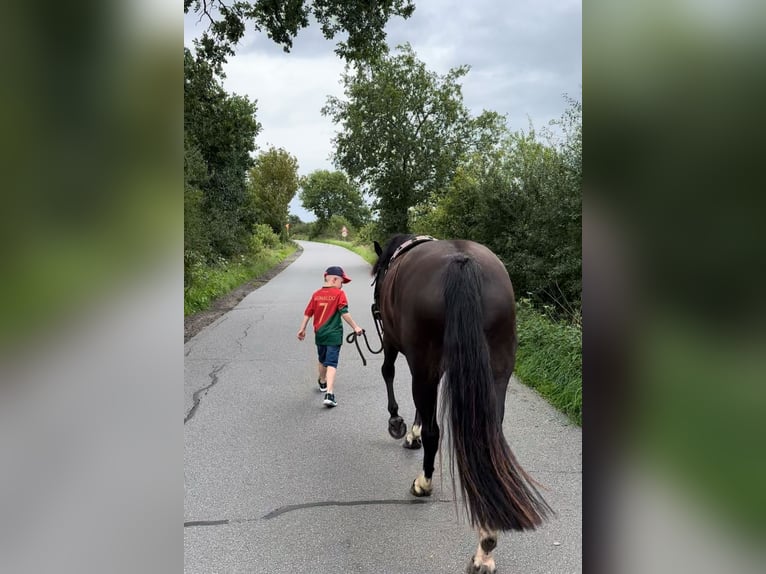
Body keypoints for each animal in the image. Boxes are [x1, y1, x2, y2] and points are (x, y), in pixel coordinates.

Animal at [372, 235, 552, 574]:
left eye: (377, 275)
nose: (375, 306)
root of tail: (463, 263)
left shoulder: (394, 343)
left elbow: (388, 372)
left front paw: (399, 425)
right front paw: (410, 431)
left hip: (423, 363)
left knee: (434, 431)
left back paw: (423, 484)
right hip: (496, 370)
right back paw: (486, 545)